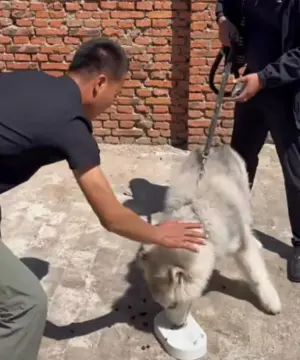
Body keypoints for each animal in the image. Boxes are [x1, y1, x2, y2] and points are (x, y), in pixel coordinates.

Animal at [138, 143, 282, 326]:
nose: (176, 326)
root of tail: (215, 146)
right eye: (163, 305)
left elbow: (256, 274)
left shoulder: (241, 245)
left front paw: (270, 300)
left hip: (243, 189)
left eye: (173, 305)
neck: (198, 218)